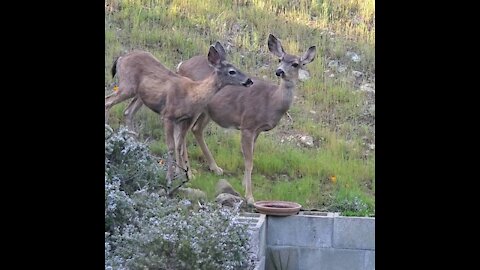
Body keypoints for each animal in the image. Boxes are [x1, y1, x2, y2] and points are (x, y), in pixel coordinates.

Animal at [106, 43, 253, 192]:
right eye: (232, 71)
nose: (249, 80)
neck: (192, 94)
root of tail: (121, 58)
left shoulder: (183, 120)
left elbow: (179, 146)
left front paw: (181, 175)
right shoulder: (168, 116)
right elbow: (171, 147)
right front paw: (169, 179)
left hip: (139, 95)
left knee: (127, 112)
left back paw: (135, 145)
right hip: (127, 85)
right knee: (108, 102)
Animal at [176, 33, 316, 204]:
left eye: (295, 64)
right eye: (280, 59)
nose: (279, 71)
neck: (271, 101)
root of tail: (181, 65)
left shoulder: (258, 130)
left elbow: (250, 156)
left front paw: (244, 184)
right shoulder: (248, 124)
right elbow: (249, 161)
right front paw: (250, 196)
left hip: (207, 111)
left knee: (196, 129)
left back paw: (215, 168)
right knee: (182, 133)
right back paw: (188, 173)